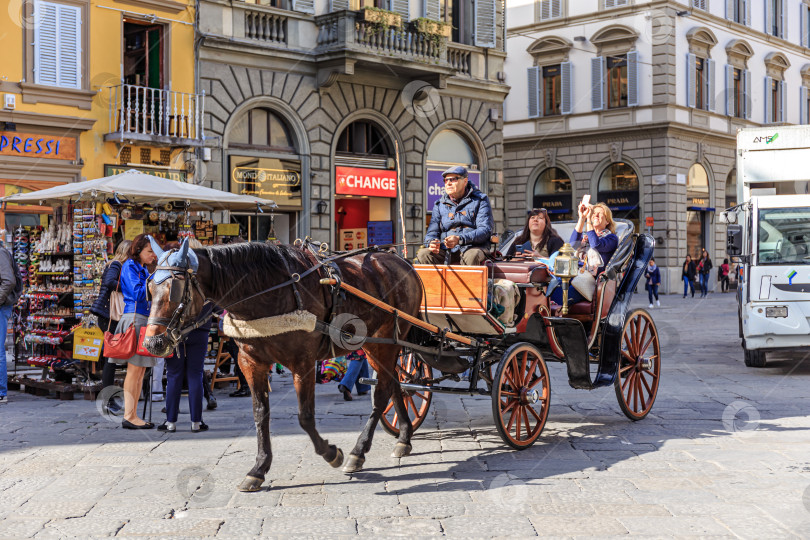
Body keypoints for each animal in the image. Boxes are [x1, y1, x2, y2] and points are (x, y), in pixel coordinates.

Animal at [141, 238, 422, 492]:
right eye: (149, 290)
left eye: (176, 290)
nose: (154, 342)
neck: (268, 290)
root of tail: (402, 261)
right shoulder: (249, 362)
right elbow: (260, 414)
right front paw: (258, 469)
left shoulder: (303, 361)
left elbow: (305, 417)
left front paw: (332, 453)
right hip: (375, 344)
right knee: (395, 384)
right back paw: (404, 437)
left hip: (386, 340)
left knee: (382, 393)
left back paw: (358, 452)